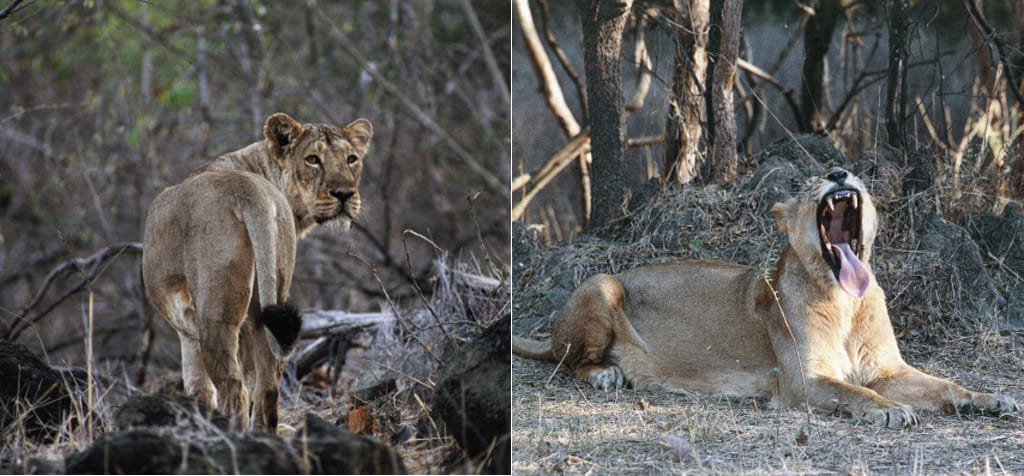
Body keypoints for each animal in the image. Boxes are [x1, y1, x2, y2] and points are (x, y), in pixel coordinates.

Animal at [142, 112, 372, 432]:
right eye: (313, 159)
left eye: (351, 159)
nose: (344, 194)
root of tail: (249, 191)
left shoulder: (188, 331)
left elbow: (199, 390)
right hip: (269, 300)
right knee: (268, 386)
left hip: (216, 311)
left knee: (234, 388)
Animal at [513, 168, 1018, 428]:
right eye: (811, 182)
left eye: (848, 170)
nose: (839, 172)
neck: (845, 300)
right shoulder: (801, 382)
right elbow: (854, 391)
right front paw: (892, 411)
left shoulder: (889, 370)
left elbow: (945, 385)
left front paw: (991, 399)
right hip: (602, 281)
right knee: (569, 362)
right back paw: (606, 375)